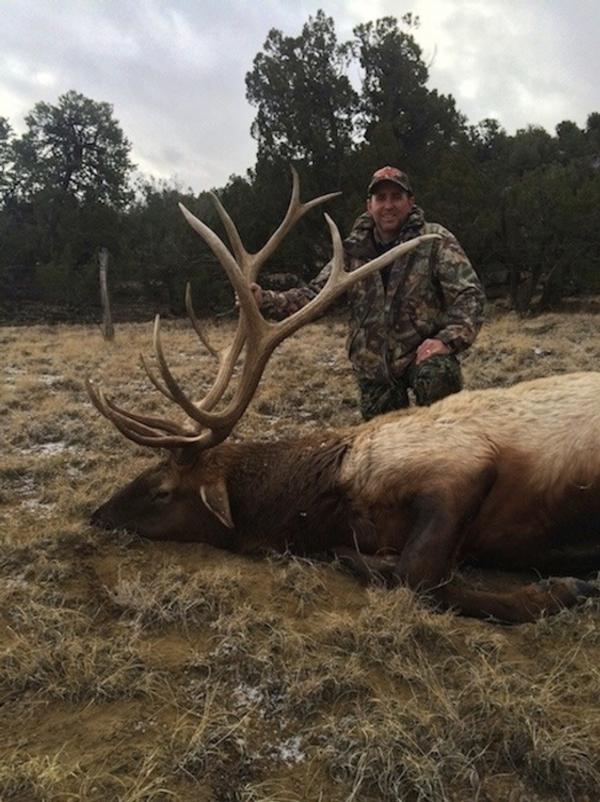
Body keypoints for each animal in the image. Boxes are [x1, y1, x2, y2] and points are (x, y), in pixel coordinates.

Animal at [88, 169, 600, 620]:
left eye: (161, 490)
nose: (97, 513)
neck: (331, 494)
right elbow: (365, 560)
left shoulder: (461, 466)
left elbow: (415, 576)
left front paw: (563, 589)